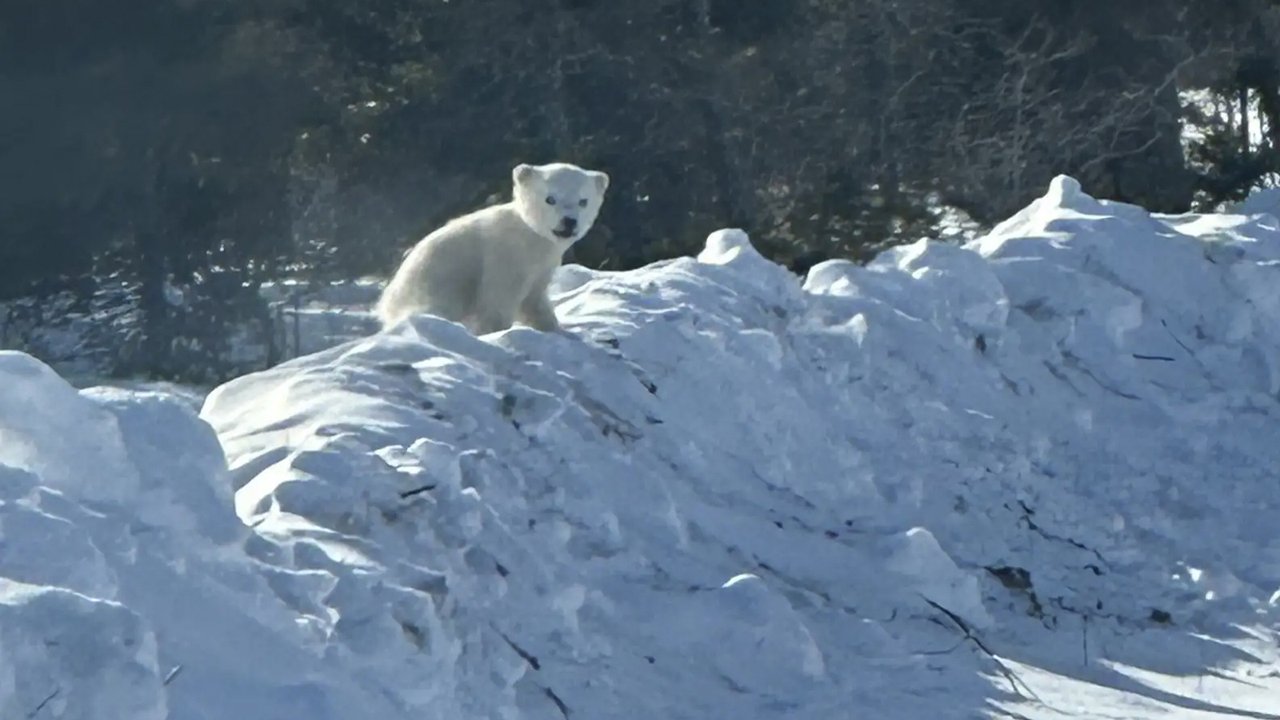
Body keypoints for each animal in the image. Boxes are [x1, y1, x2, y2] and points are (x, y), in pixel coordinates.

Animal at [373, 162, 609, 333]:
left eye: (583, 201)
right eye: (550, 199)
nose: (569, 222)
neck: (531, 238)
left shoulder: (542, 266)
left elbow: (534, 300)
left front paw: (553, 327)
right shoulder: (504, 257)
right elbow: (497, 299)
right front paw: (494, 330)